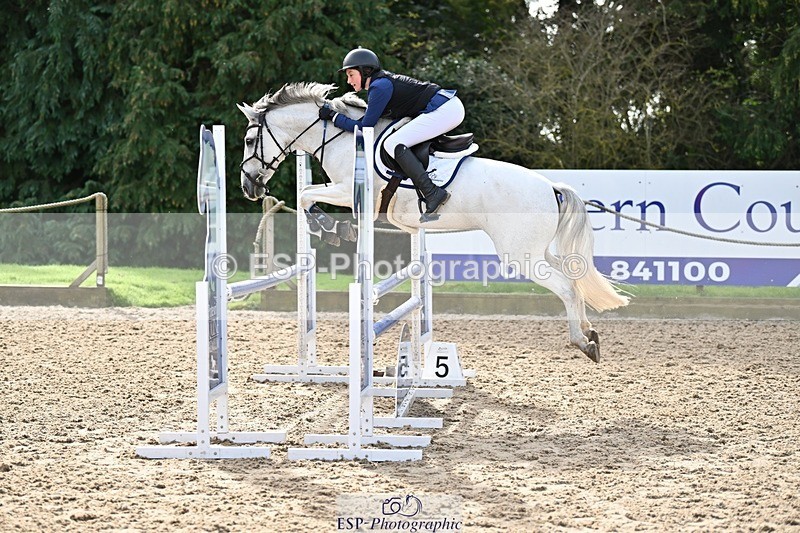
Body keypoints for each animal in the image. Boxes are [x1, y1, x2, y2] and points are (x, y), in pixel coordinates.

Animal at [237, 82, 629, 362]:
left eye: (250, 139)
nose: (248, 186)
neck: (339, 138)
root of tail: (551, 187)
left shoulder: (351, 192)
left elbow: (306, 196)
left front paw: (332, 230)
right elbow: (307, 195)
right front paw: (333, 229)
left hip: (521, 255)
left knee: (566, 288)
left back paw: (582, 342)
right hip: (537, 251)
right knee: (573, 281)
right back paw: (589, 332)